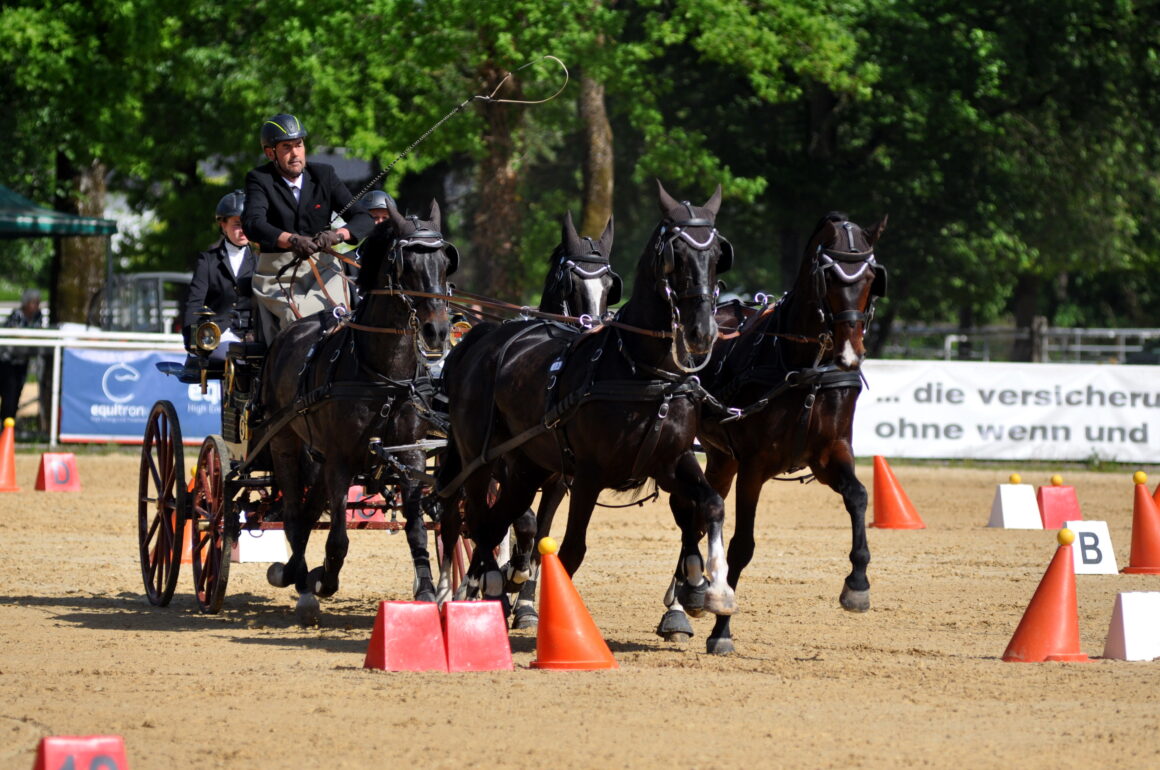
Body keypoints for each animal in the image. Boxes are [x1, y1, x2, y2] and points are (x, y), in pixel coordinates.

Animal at [436, 182, 733, 621]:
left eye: (716, 256)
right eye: (674, 255)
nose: (702, 332)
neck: (643, 371)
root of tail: (478, 338)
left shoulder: (671, 460)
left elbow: (710, 505)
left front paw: (710, 587)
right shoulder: (589, 475)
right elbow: (571, 549)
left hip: (525, 466)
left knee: (495, 521)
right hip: (479, 458)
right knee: (472, 515)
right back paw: (471, 588)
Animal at [658, 212, 890, 654]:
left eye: (872, 277)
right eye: (828, 276)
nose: (850, 354)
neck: (804, 367)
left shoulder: (831, 454)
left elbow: (858, 496)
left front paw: (857, 585)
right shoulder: (755, 466)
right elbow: (742, 546)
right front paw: (722, 629)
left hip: (722, 457)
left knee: (697, 513)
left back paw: (688, 595)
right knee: (687, 511)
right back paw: (683, 604)